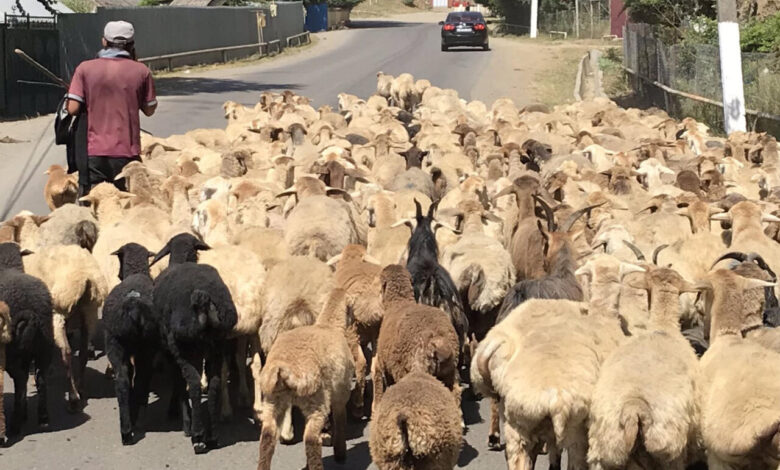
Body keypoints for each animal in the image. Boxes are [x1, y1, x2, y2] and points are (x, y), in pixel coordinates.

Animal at [0, 242, 54, 440]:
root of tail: (32, 311)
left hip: (12, 351)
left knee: (21, 379)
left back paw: (15, 424)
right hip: (44, 346)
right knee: (41, 378)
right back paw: (43, 418)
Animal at [103, 244, 159, 446]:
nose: (118, 274)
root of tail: (134, 306)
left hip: (116, 345)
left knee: (122, 382)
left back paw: (126, 430)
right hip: (144, 347)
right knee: (140, 379)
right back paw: (133, 419)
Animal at [150, 233, 238, 454]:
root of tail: (204, 301)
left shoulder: (172, 351)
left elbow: (180, 385)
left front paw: (182, 419)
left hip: (183, 347)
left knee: (194, 384)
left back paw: (197, 435)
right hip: (216, 345)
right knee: (214, 384)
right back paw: (213, 435)